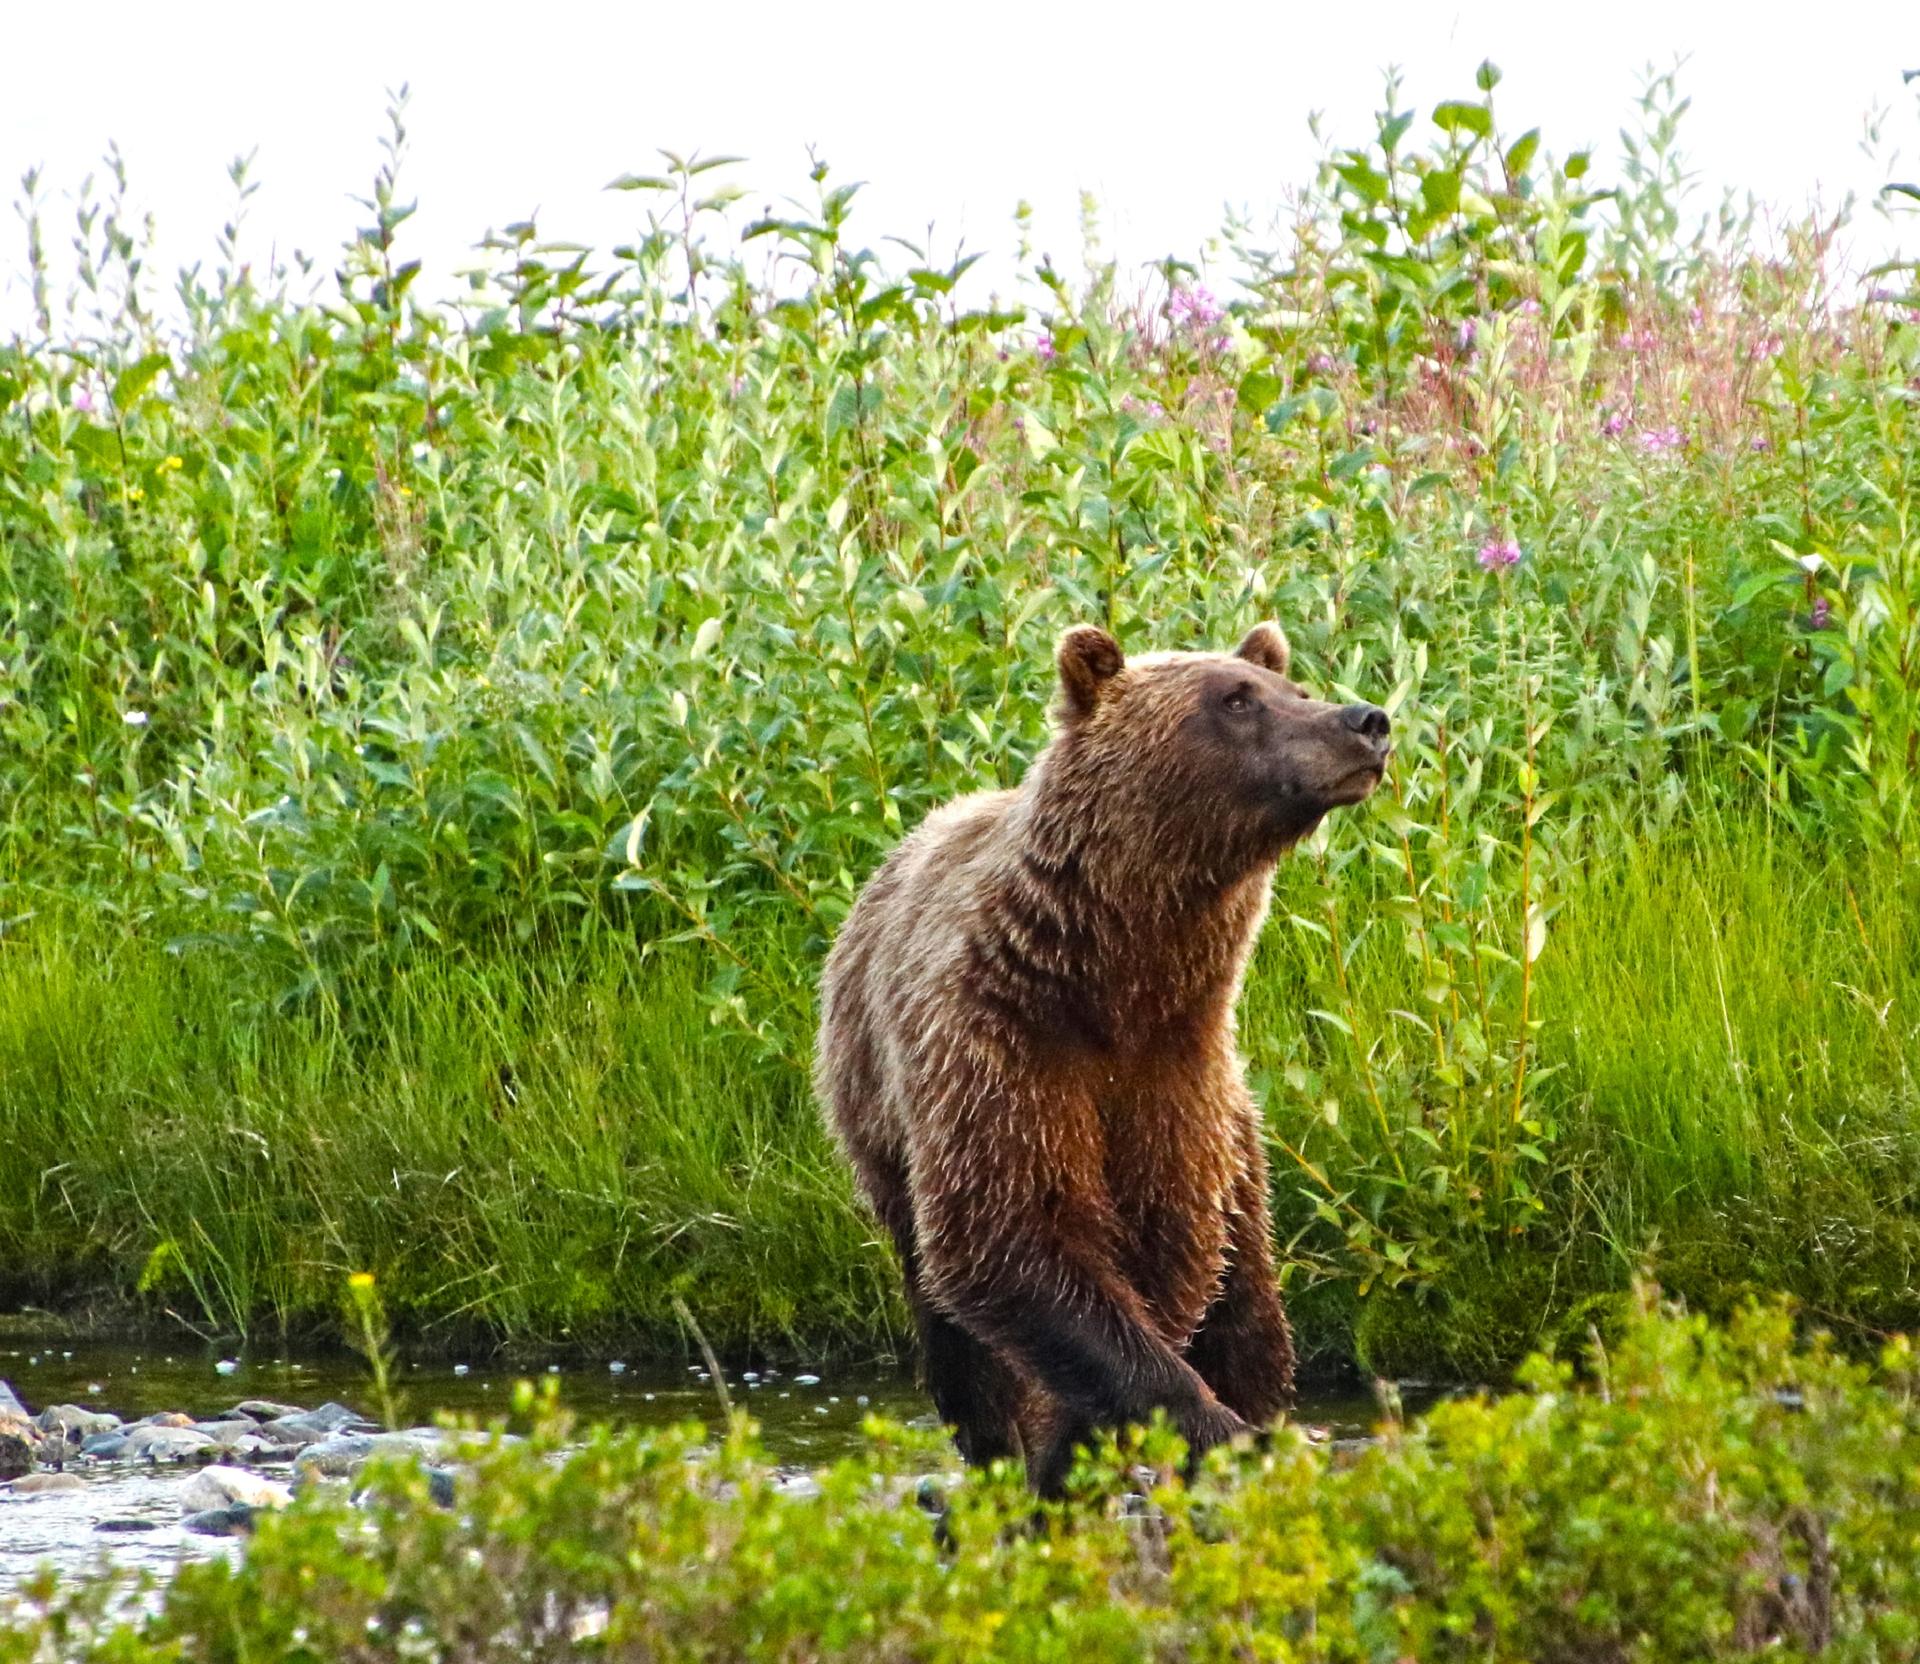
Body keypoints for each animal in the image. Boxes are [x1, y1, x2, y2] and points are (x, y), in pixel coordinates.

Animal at [814, 621, 1391, 1495]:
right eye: (1236, 700)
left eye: (1293, 688)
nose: (1365, 720)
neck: (1112, 977)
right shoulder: (996, 1047)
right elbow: (1013, 1236)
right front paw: (1140, 1432)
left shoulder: (1178, 1067)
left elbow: (1167, 1245)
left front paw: (1119, 1436)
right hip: (881, 1131)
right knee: (945, 1327)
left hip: (1243, 1139)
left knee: (1249, 1296)